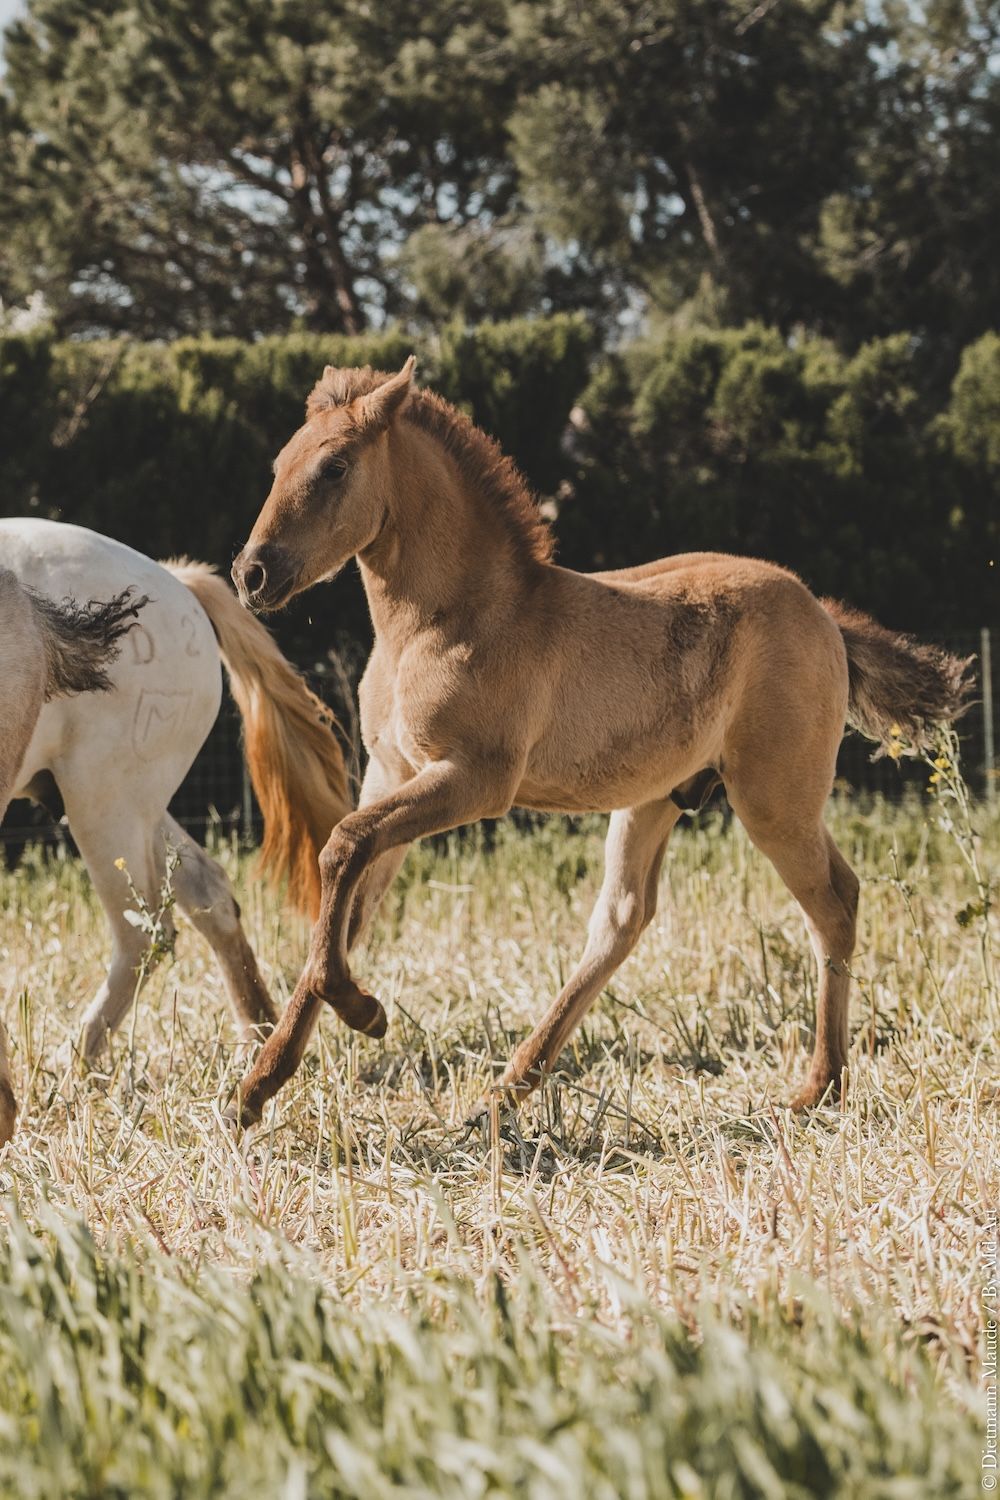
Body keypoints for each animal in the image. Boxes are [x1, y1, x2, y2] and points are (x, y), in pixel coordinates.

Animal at [232, 354, 971, 1128]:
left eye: (335, 467)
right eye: (280, 464)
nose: (252, 573)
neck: (452, 616)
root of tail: (825, 617)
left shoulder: (473, 779)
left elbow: (343, 848)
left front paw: (363, 1012)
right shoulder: (391, 773)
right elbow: (347, 892)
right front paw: (259, 1084)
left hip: (775, 799)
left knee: (832, 902)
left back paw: (817, 1087)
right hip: (658, 799)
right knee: (623, 919)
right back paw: (504, 1093)